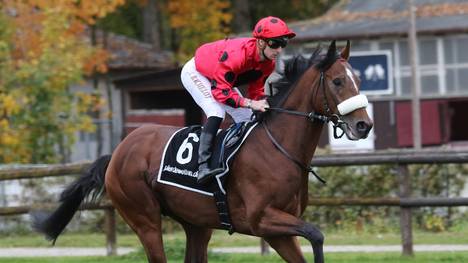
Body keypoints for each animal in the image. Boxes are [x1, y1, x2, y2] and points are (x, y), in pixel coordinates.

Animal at [33, 40, 372, 262]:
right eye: (338, 81)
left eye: (358, 78)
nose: (363, 125)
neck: (279, 147)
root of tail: (117, 152)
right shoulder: (262, 220)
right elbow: (316, 233)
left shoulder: (277, 230)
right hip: (144, 219)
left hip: (196, 224)